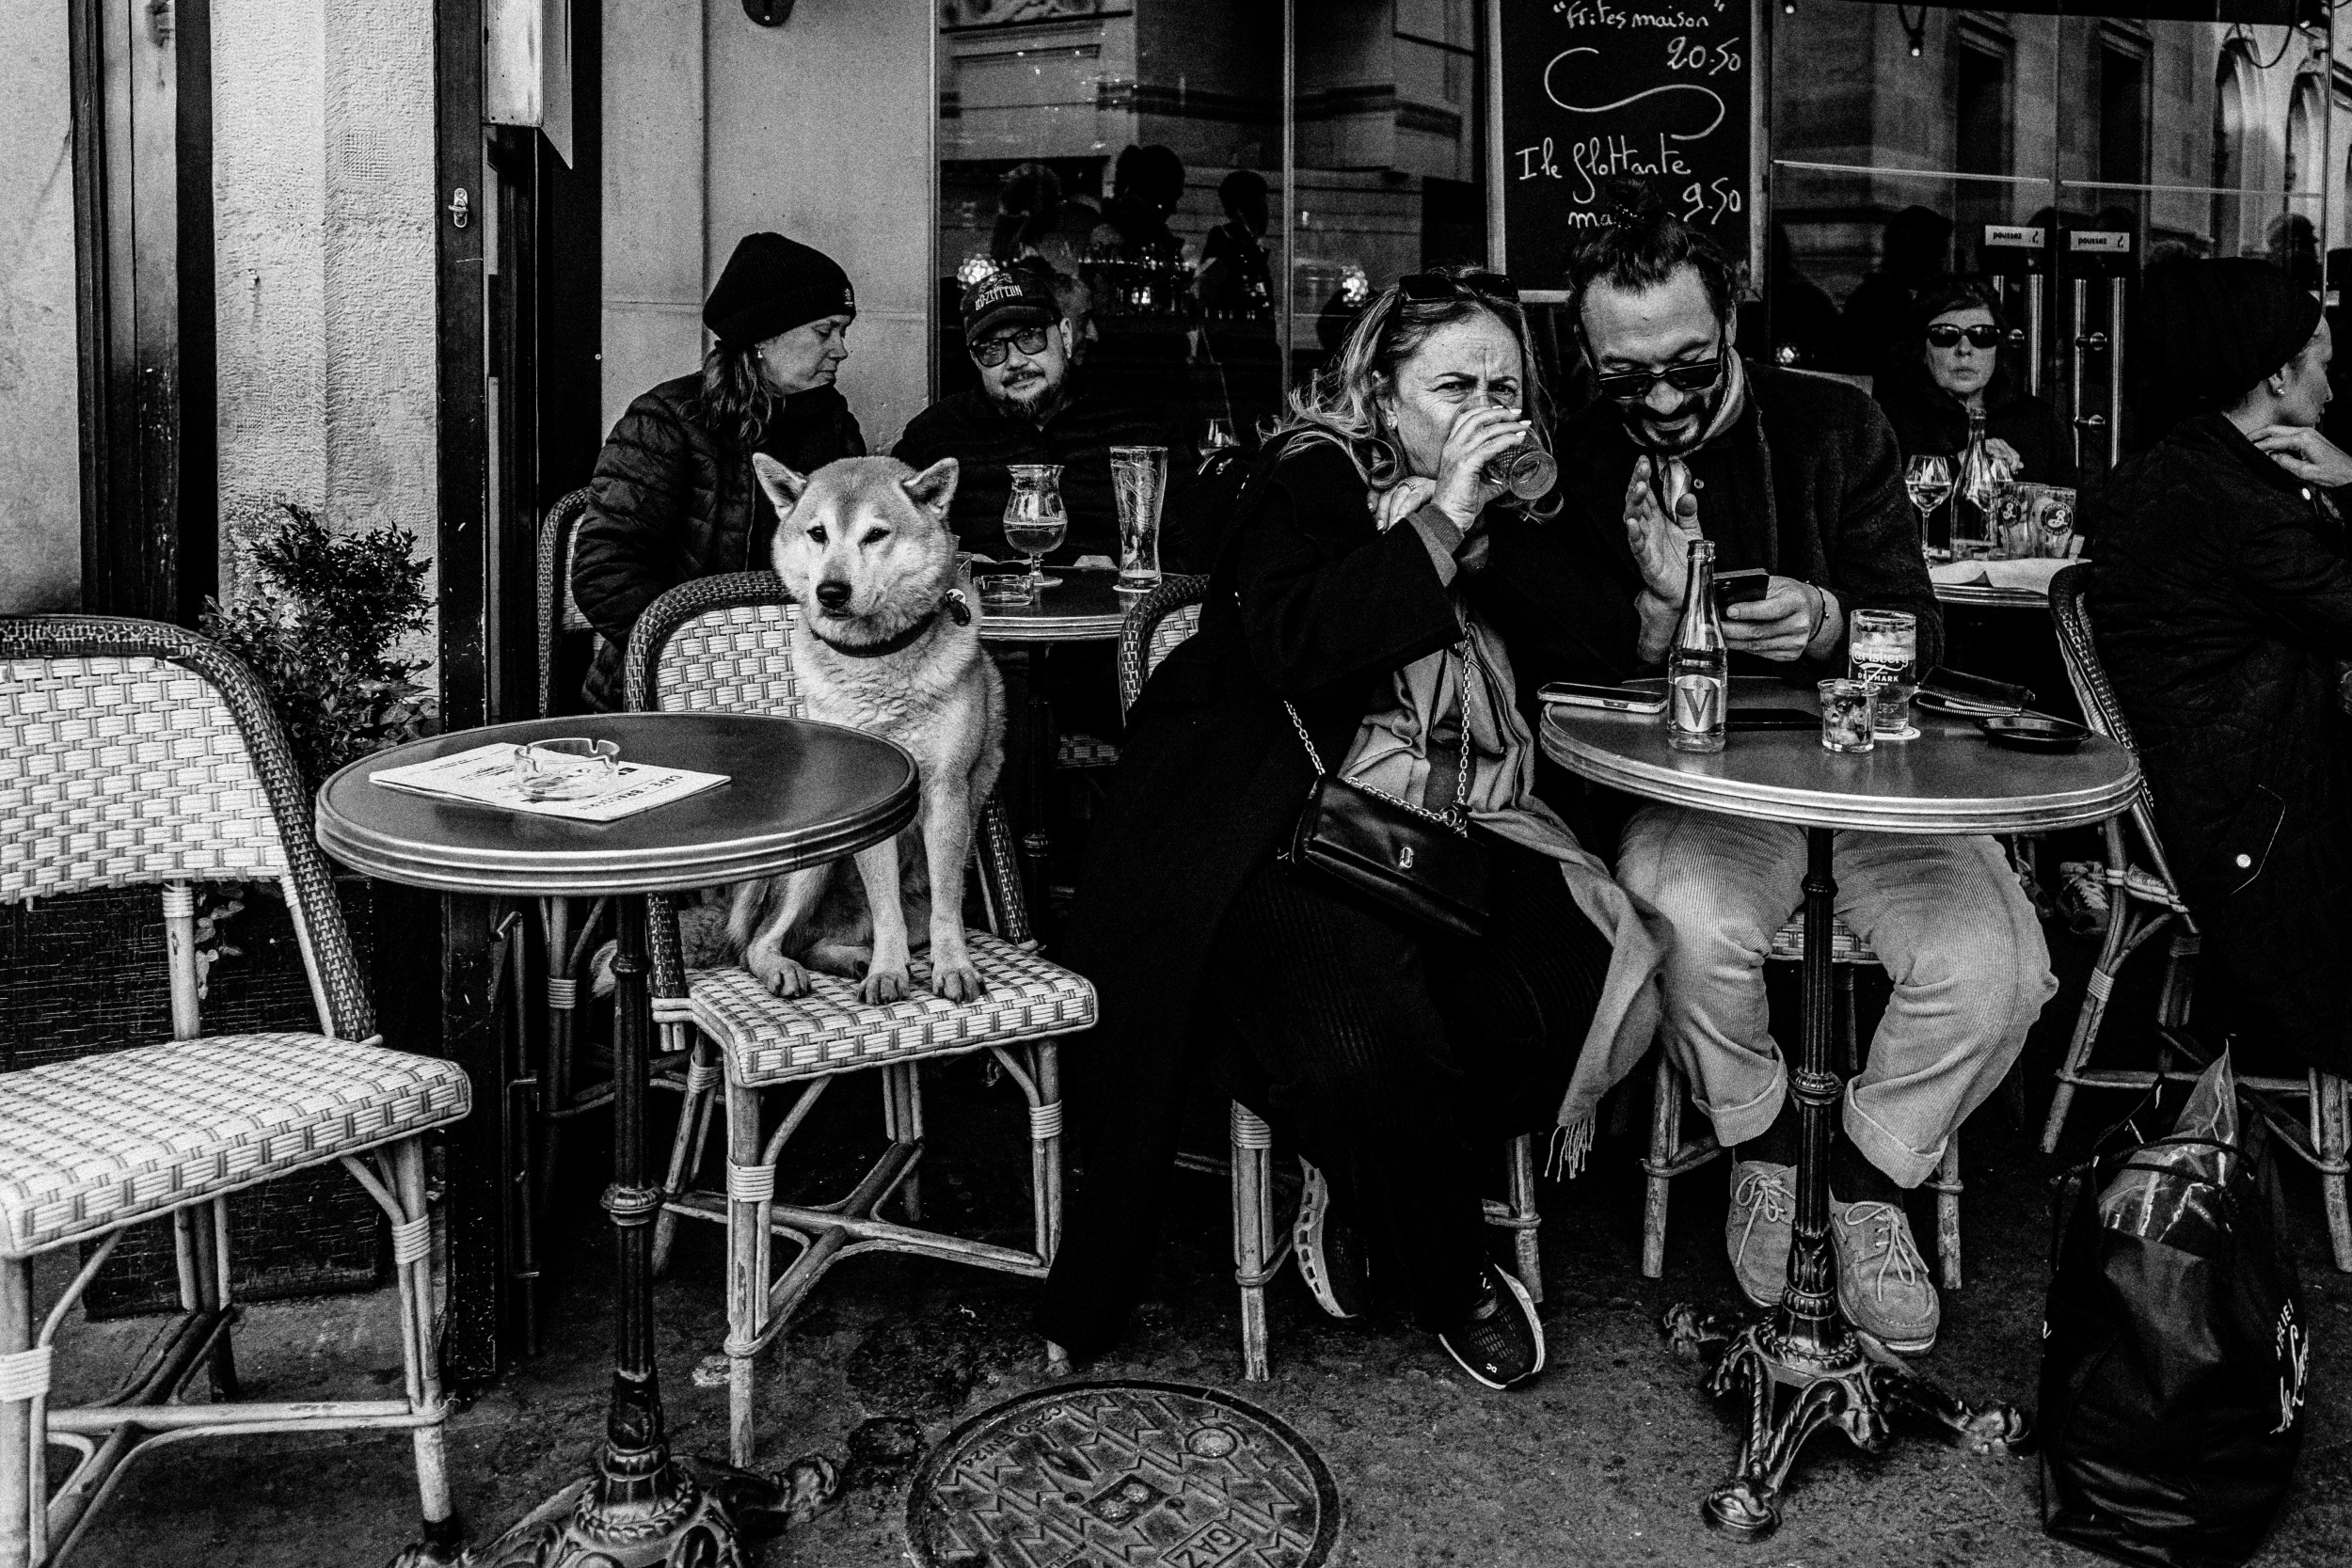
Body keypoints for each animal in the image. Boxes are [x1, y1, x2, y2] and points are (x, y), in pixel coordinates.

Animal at [727, 451, 1005, 1005]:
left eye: (876, 535)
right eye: (817, 533)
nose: (831, 591)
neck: (879, 662)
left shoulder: (945, 791)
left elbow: (947, 907)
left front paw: (953, 968)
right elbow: (885, 906)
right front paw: (887, 972)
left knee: (814, 940)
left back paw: (852, 959)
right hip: (813, 865)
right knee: (763, 942)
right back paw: (794, 969)